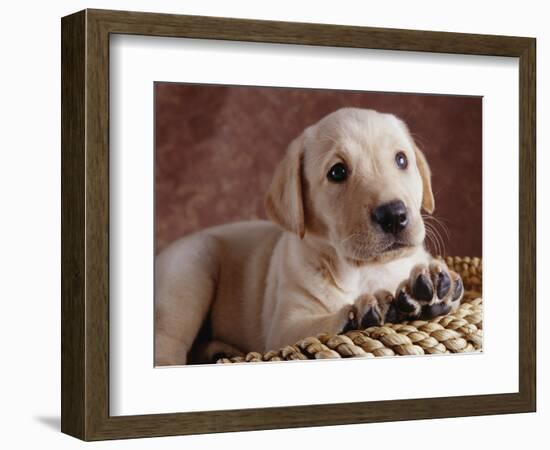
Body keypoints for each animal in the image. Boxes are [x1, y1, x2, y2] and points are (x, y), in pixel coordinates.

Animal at [156, 109, 466, 366]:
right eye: (337, 172)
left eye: (401, 159)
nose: (393, 215)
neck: (365, 271)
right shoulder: (284, 327)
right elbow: (317, 328)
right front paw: (359, 314)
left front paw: (433, 288)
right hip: (191, 269)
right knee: (167, 342)